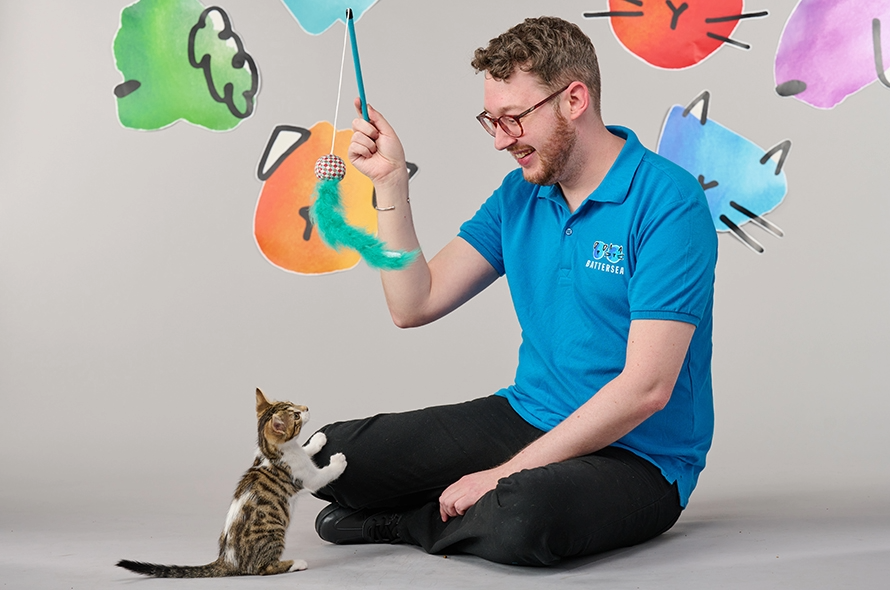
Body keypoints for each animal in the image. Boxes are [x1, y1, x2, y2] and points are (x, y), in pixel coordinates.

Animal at [114, 388, 344, 580]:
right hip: (274, 534)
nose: (306, 408)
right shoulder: (307, 476)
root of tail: (227, 559)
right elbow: (323, 474)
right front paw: (339, 462)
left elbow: (306, 449)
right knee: (263, 569)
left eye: (293, 402)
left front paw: (318, 440)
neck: (271, 453)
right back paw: (297, 563)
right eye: (296, 416)